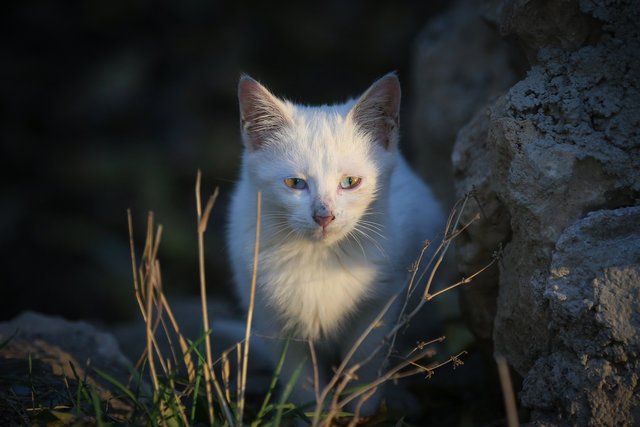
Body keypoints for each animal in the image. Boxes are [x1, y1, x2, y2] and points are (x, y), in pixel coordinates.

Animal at [228, 73, 442, 414]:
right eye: (295, 183)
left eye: (350, 182)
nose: (323, 216)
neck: (320, 259)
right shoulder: (269, 314)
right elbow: (299, 375)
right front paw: (311, 411)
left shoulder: (382, 302)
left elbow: (364, 359)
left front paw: (362, 407)